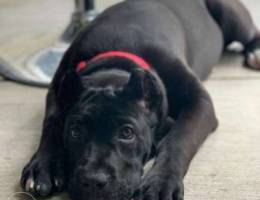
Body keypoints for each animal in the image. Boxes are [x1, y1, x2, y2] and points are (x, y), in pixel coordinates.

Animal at [20, 0, 260, 199]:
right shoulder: (55, 94)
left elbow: (179, 138)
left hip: (231, 15)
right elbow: (51, 123)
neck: (115, 60)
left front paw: (161, 182)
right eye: (75, 131)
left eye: (127, 133)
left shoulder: (200, 102)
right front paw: (44, 165)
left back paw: (255, 51)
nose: (92, 181)